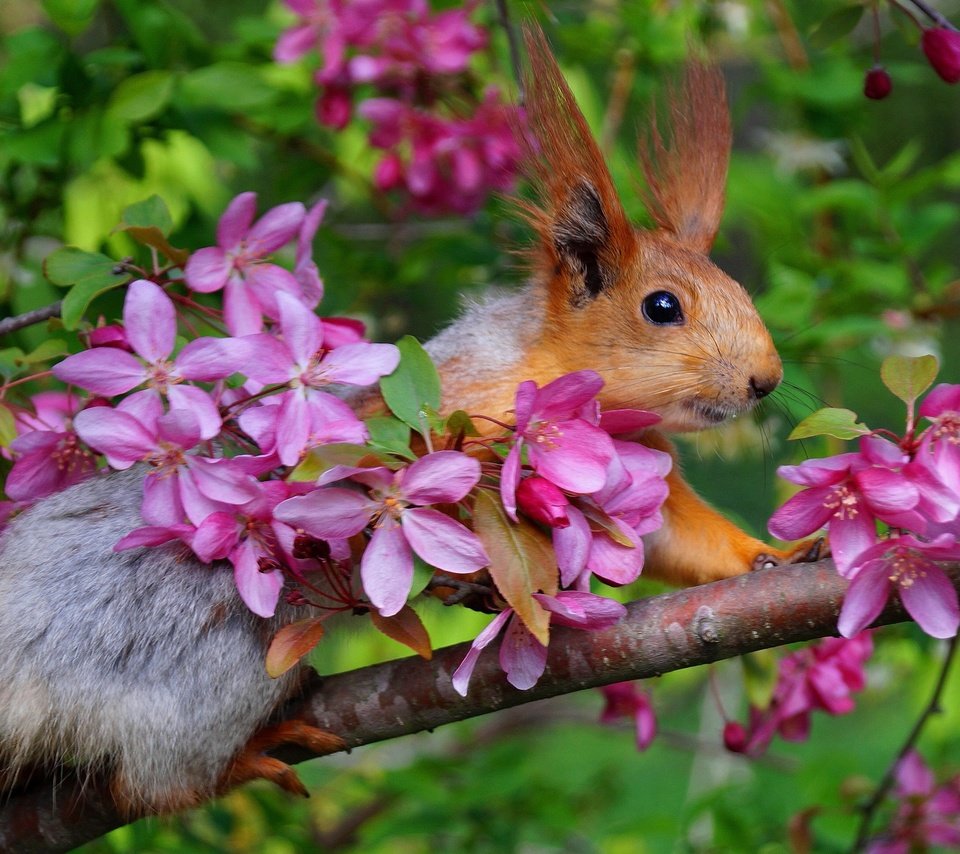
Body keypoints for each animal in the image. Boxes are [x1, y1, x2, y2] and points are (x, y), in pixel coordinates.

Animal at [0, 30, 820, 824]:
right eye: (661, 307)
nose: (766, 379)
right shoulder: (456, 416)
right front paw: (480, 582)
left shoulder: (642, 467)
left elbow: (688, 544)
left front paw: (780, 554)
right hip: (201, 653)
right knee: (154, 782)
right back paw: (253, 752)